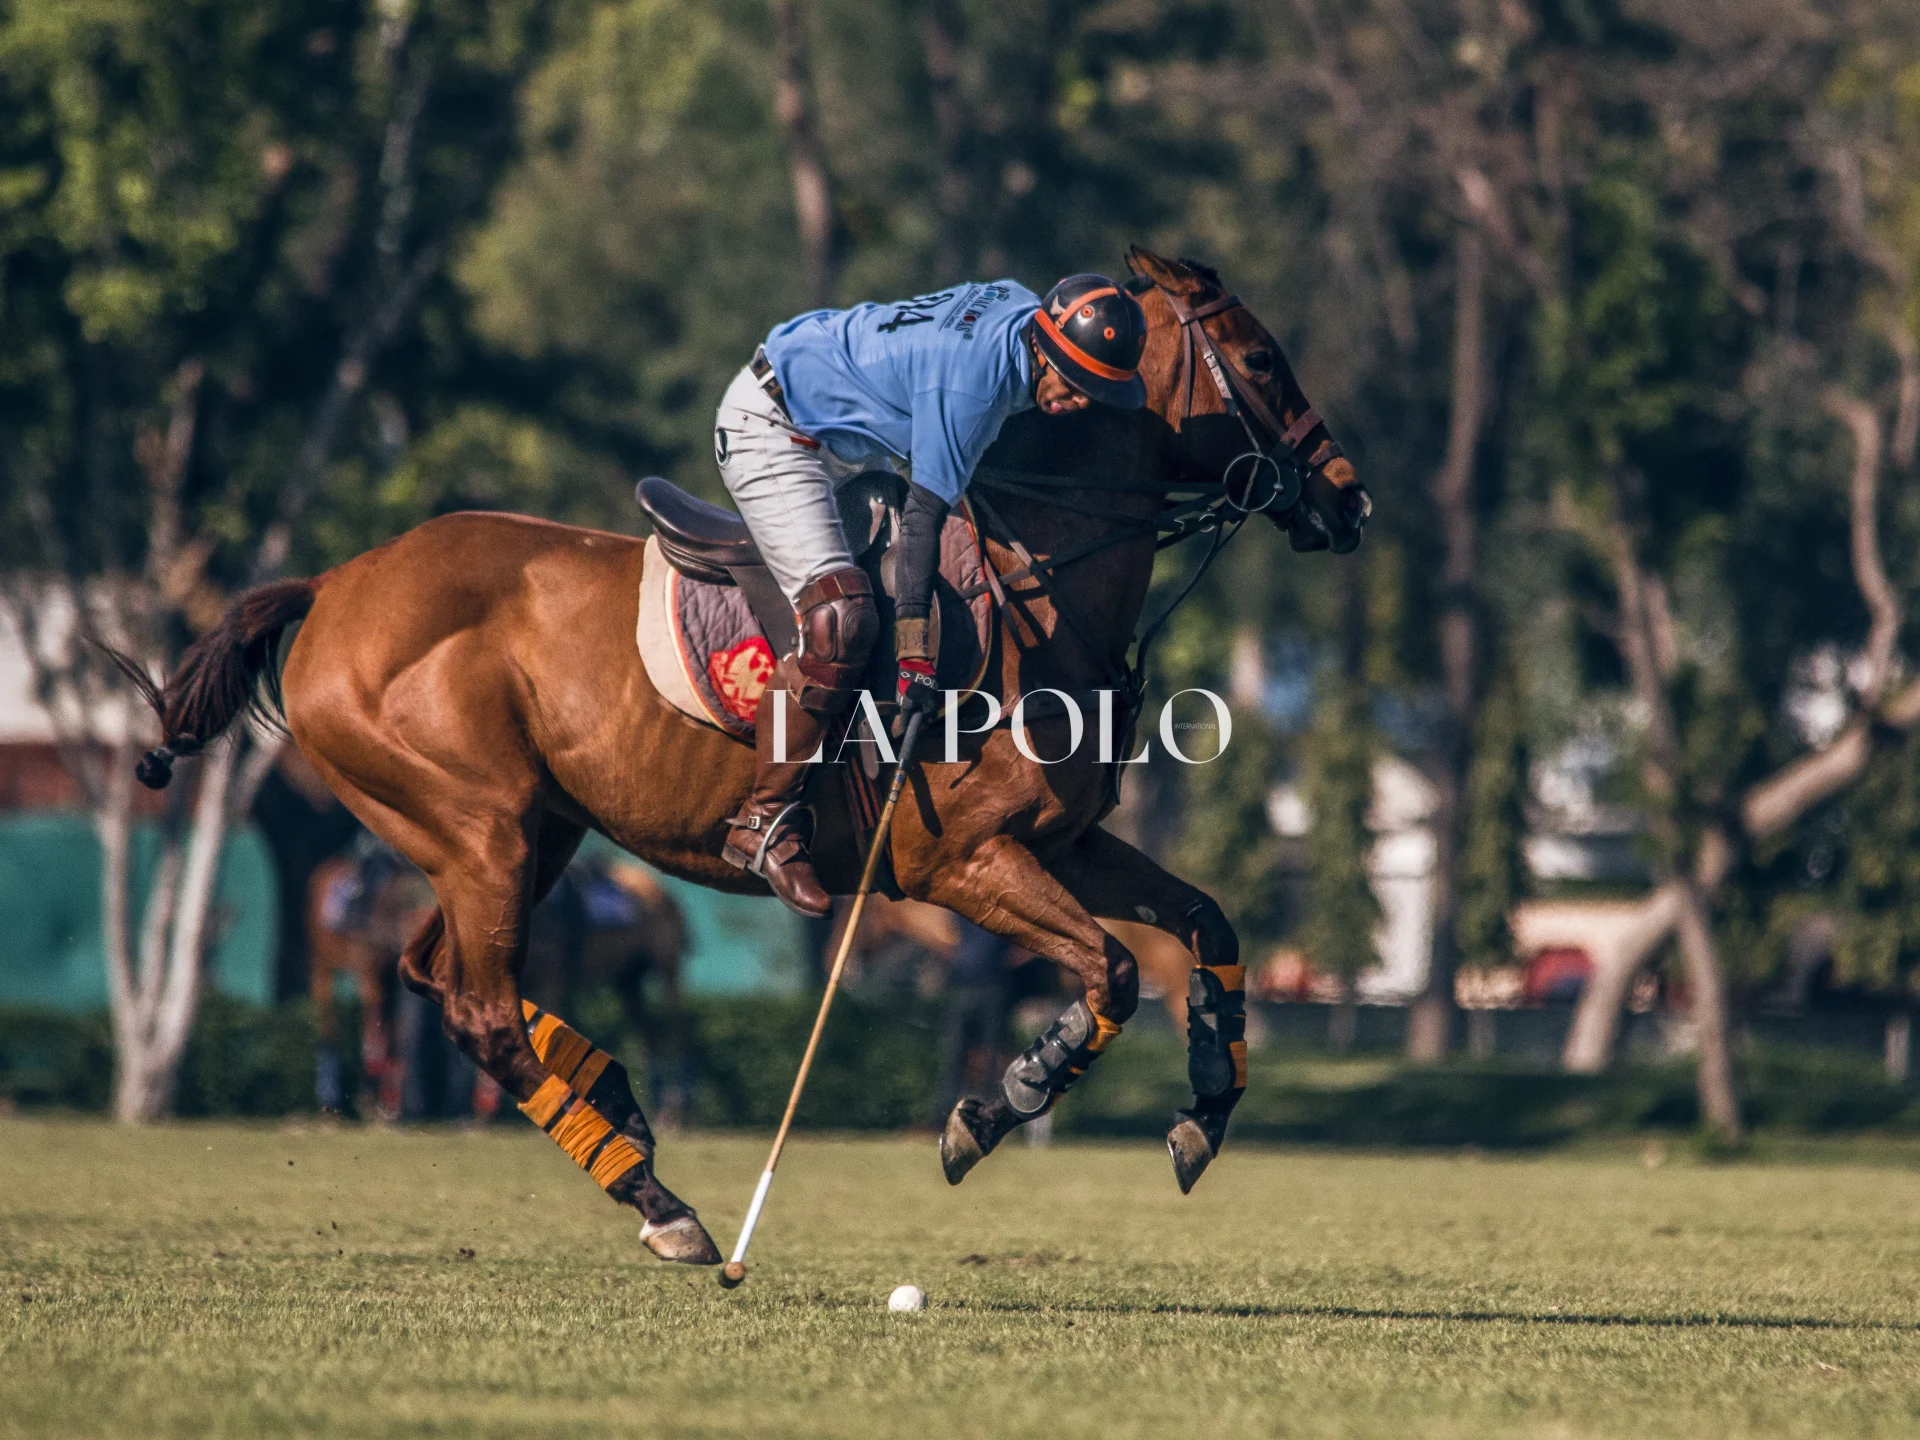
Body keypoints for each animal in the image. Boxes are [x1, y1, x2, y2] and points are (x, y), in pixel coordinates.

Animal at [120, 247, 1367, 1259]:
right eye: (1262, 359)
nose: (1349, 503)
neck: (1036, 584)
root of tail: (334, 582)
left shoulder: (1063, 843)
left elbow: (1207, 924)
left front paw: (1203, 1115)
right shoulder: (961, 863)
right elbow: (1109, 970)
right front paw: (990, 1108)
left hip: (527, 831)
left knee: (441, 977)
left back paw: (618, 1103)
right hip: (477, 827)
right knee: (477, 1007)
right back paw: (662, 1204)